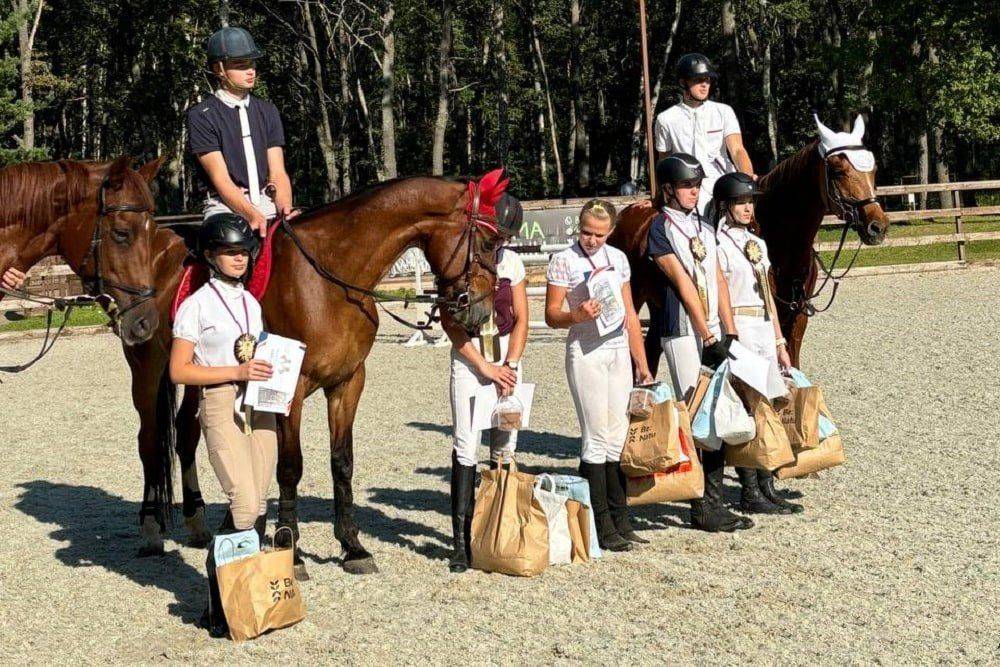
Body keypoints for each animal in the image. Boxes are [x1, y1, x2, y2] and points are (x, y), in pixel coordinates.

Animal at [608, 113, 892, 368]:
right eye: (837, 171)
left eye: (874, 170)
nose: (877, 226)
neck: (781, 241)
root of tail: (628, 214)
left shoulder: (797, 315)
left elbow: (792, 362)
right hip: (635, 296)